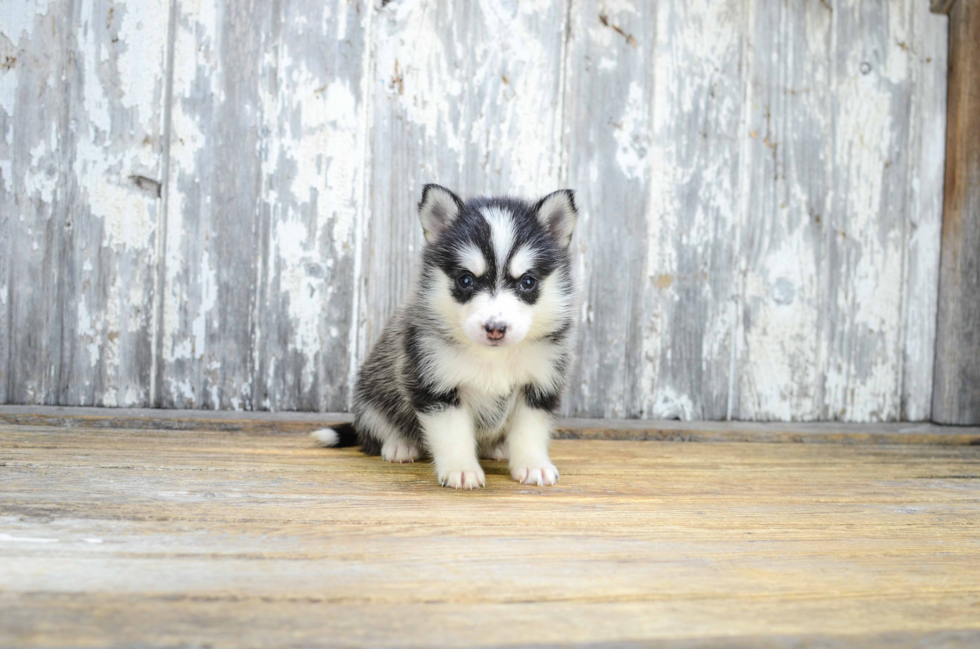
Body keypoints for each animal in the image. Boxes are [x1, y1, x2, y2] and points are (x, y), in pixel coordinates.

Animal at [310, 185, 580, 488]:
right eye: (466, 280)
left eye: (528, 282)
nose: (495, 328)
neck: (493, 357)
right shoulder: (434, 386)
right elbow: (453, 434)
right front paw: (461, 469)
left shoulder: (540, 385)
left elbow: (529, 430)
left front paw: (533, 464)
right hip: (370, 396)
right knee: (376, 428)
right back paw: (399, 445)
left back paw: (499, 447)